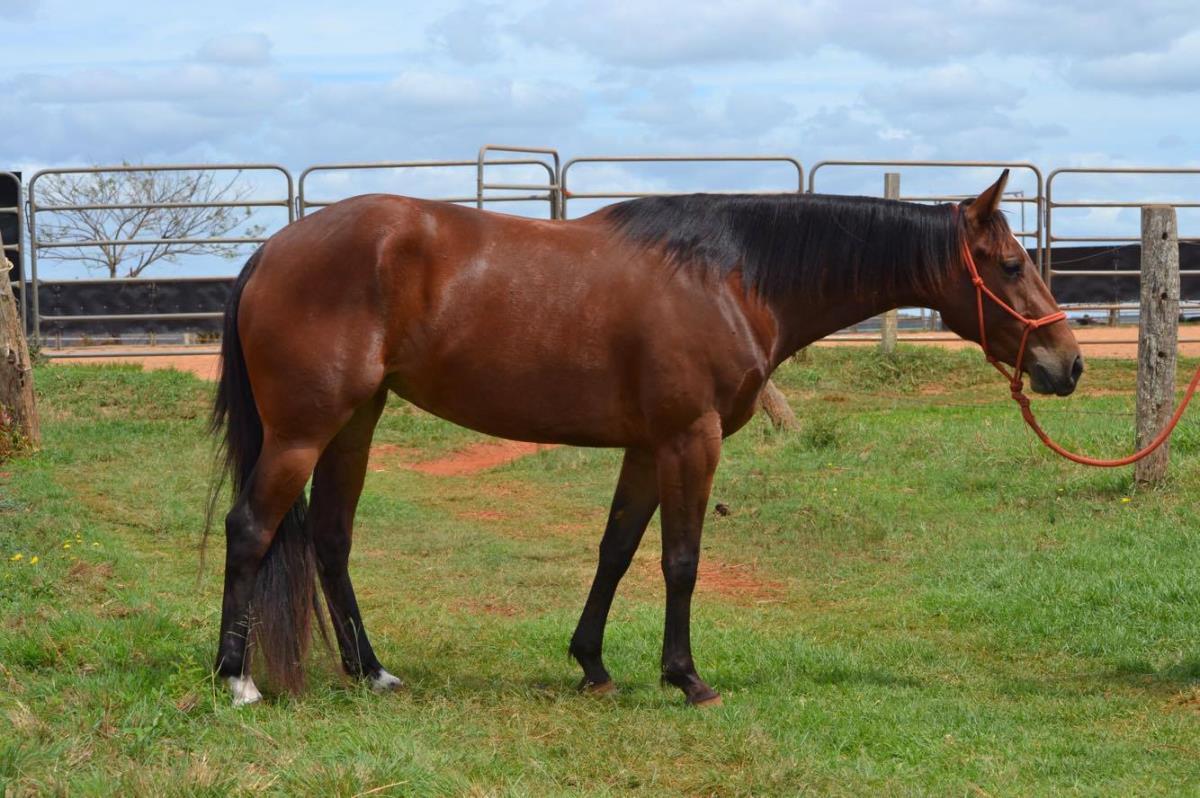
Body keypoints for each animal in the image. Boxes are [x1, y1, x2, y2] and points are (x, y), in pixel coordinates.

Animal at [208, 170, 1083, 707]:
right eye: (1010, 265)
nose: (1066, 363)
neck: (730, 275)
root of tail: (272, 250)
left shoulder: (644, 447)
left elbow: (616, 550)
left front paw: (592, 664)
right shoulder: (690, 441)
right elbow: (681, 561)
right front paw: (687, 677)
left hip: (354, 424)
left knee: (330, 539)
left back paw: (373, 672)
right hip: (303, 430)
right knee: (250, 530)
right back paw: (235, 679)